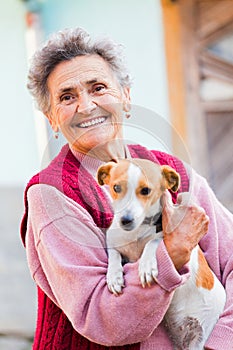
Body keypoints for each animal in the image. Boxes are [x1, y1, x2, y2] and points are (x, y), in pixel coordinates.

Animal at [97, 159, 227, 350]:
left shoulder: (162, 235)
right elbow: (114, 255)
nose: (125, 220)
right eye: (116, 187)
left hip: (200, 338)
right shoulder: (113, 241)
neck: (136, 232)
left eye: (145, 190)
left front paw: (146, 266)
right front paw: (114, 277)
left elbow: (153, 242)